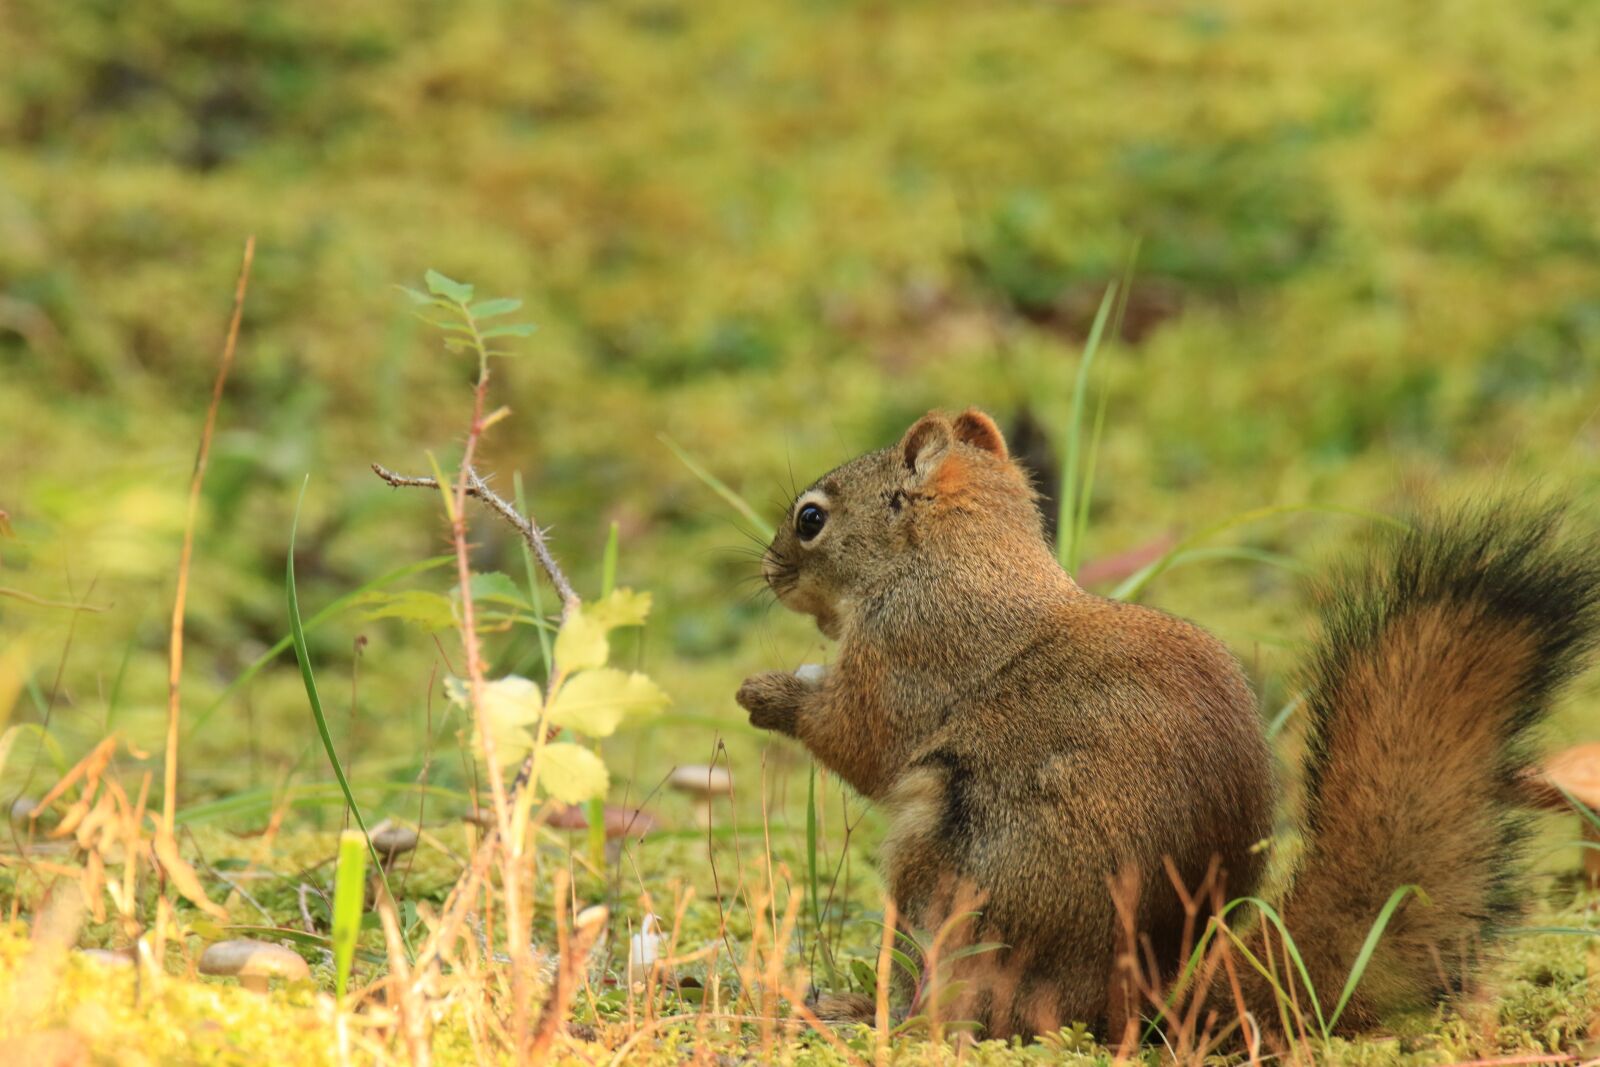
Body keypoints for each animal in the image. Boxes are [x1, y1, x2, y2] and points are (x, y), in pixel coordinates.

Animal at [735, 407, 1600, 1042]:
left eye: (811, 517)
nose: (768, 569)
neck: (958, 562)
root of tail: (1141, 1003)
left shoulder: (910, 656)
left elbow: (859, 738)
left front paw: (768, 692)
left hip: (951, 870)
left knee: (972, 1012)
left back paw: (872, 1017)